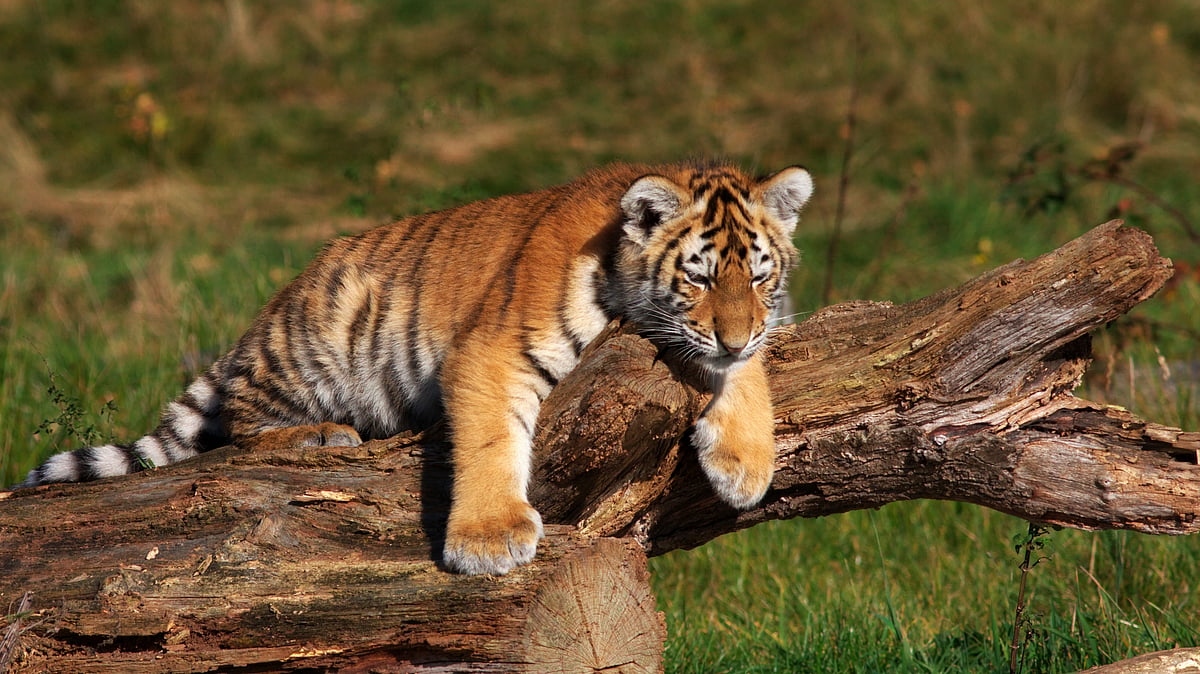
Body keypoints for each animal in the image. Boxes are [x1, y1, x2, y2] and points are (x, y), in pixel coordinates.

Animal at [15, 161, 813, 575]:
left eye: (759, 277)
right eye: (700, 278)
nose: (736, 336)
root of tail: (276, 306)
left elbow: (748, 373)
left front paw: (745, 462)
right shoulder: (493, 351)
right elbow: (492, 440)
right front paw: (488, 540)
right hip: (318, 341)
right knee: (240, 418)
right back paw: (319, 436)